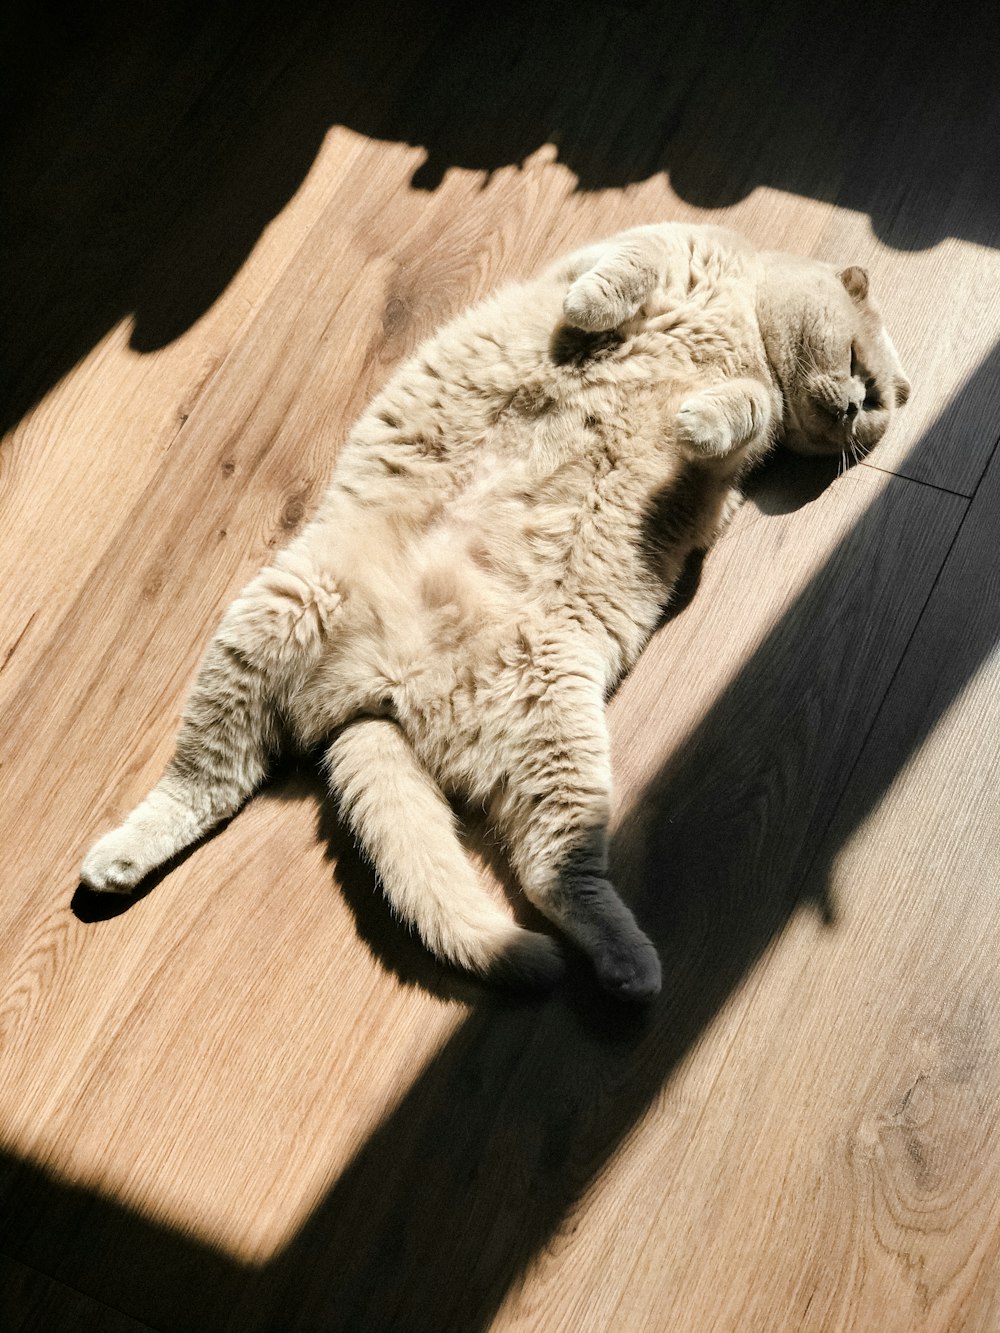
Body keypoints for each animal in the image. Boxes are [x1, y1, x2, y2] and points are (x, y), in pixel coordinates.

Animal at [82, 226, 912, 1002]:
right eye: (862, 376)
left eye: (870, 403)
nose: (852, 408)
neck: (744, 313)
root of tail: (380, 693)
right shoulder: (651, 242)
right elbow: (626, 271)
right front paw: (595, 310)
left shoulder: (735, 456)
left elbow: (745, 407)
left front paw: (699, 416)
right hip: (283, 605)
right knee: (206, 779)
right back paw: (119, 858)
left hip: (548, 728)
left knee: (551, 875)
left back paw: (628, 966)